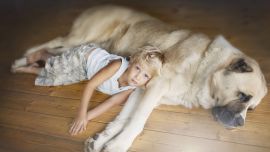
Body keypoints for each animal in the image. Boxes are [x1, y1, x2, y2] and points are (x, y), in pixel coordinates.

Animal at [11, 4, 266, 152]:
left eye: (251, 109)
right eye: (243, 96)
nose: (240, 124)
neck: (204, 68)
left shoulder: (143, 91)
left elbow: (124, 119)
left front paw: (103, 140)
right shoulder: (154, 87)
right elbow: (137, 122)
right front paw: (118, 145)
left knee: (53, 54)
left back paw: (33, 63)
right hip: (81, 38)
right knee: (53, 42)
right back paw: (21, 61)